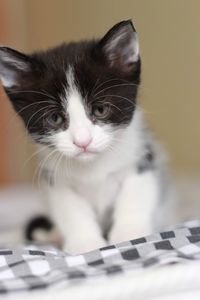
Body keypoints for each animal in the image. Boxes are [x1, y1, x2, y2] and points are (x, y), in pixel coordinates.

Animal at [0, 19, 172, 253]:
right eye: (55, 118)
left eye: (100, 110)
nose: (83, 142)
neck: (93, 167)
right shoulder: (56, 179)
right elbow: (71, 210)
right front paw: (85, 243)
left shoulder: (142, 155)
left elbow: (135, 192)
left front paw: (129, 233)